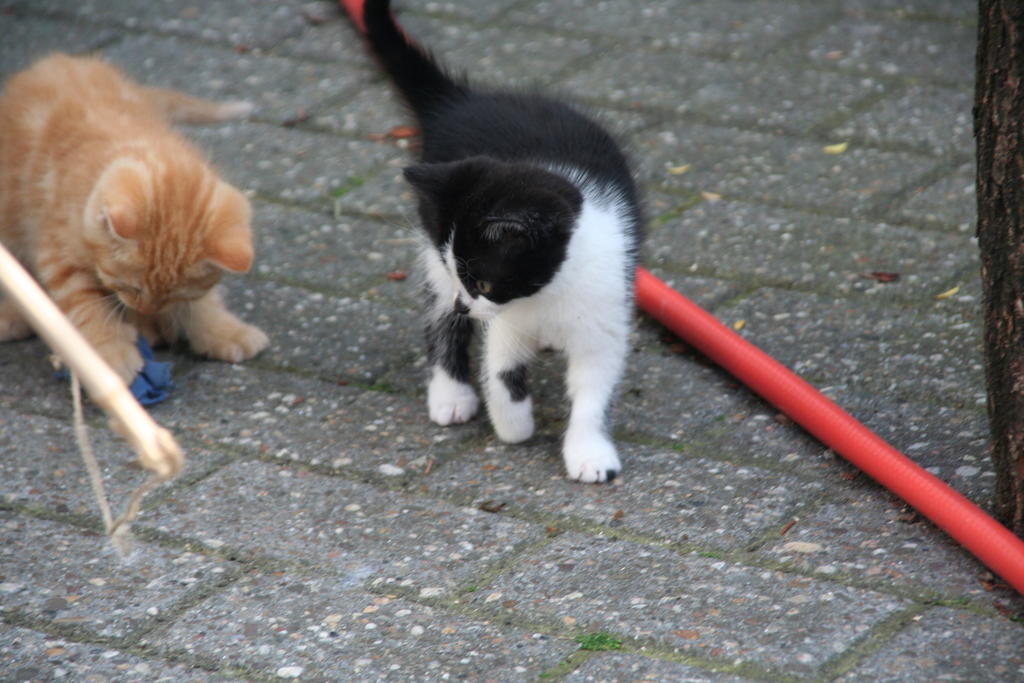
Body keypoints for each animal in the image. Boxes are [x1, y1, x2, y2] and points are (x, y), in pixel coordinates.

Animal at [0, 53, 269, 386]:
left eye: (172, 295)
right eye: (132, 287)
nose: (146, 307)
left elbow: (204, 303)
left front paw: (224, 330)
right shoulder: (58, 250)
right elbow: (86, 306)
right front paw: (110, 356)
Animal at [361, 0, 642, 483]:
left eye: (485, 282)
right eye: (469, 278)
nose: (465, 305)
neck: (550, 294)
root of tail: (462, 101)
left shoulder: (605, 313)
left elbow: (595, 388)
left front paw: (589, 452)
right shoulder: (499, 313)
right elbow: (502, 370)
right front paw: (515, 426)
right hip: (432, 236)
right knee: (437, 311)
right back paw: (450, 393)